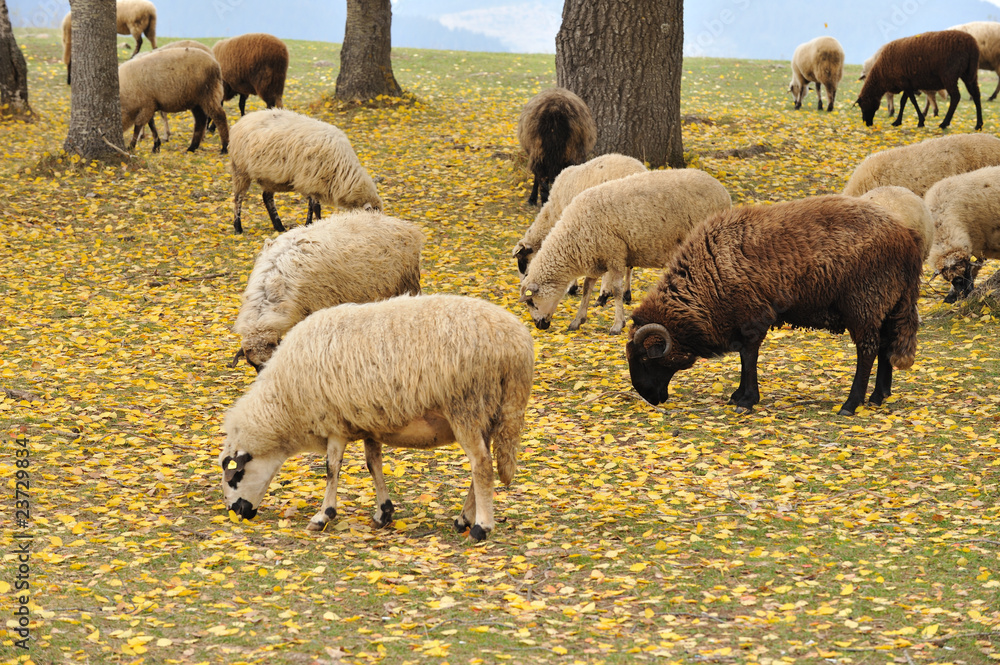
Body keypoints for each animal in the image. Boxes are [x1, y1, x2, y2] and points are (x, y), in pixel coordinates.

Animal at [219, 294, 535, 541]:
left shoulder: (334, 424)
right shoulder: (368, 422)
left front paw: (323, 516)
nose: (236, 512)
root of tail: (517, 345)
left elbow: (332, 469)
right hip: (489, 413)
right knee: (482, 465)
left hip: (467, 406)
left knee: (481, 466)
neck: (285, 404)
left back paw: (481, 527)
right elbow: (373, 464)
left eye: (235, 476)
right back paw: (463, 520)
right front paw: (383, 513)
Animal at [228, 109, 383, 234]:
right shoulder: (311, 180)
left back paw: (279, 226)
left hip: (269, 177)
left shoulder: (314, 184)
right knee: (238, 198)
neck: (343, 172)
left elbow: (312, 206)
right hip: (240, 169)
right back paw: (238, 227)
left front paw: (311, 223)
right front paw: (315, 223)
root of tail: (244, 119)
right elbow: (316, 207)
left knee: (267, 198)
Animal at [512, 153, 647, 303]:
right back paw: (626, 295)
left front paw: (572, 288)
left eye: (522, 261)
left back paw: (603, 296)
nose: (523, 288)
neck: (551, 213)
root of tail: (638, 169)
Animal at [519, 169, 732, 335]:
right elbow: (587, 288)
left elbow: (616, 290)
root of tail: (723, 191)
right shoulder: (596, 258)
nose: (539, 326)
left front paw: (617, 325)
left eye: (532, 302)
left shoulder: (614, 255)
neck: (572, 237)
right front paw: (578, 320)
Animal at [626, 195, 922, 416]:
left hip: (865, 302)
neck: (708, 272)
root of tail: (906, 235)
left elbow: (748, 356)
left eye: (644, 357)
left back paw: (851, 404)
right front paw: (738, 395)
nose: (649, 397)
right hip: (889, 303)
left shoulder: (753, 317)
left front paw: (746, 400)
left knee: (867, 350)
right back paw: (878, 396)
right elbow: (745, 357)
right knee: (884, 345)